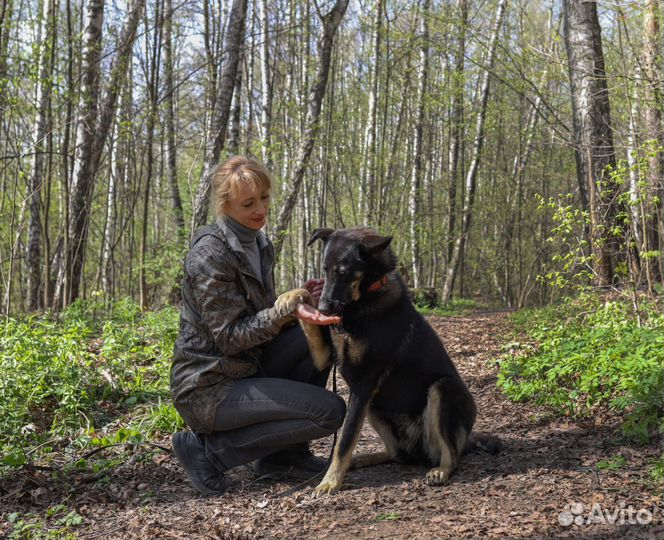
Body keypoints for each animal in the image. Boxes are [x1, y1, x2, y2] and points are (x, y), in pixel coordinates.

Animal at [298, 226, 490, 496]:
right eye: (324, 269)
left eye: (342, 272)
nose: (325, 309)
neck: (363, 300)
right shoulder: (327, 358)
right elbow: (310, 327)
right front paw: (295, 297)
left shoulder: (363, 385)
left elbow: (344, 441)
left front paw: (330, 482)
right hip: (375, 407)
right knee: (398, 454)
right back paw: (364, 459)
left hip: (442, 389)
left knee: (451, 454)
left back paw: (441, 470)